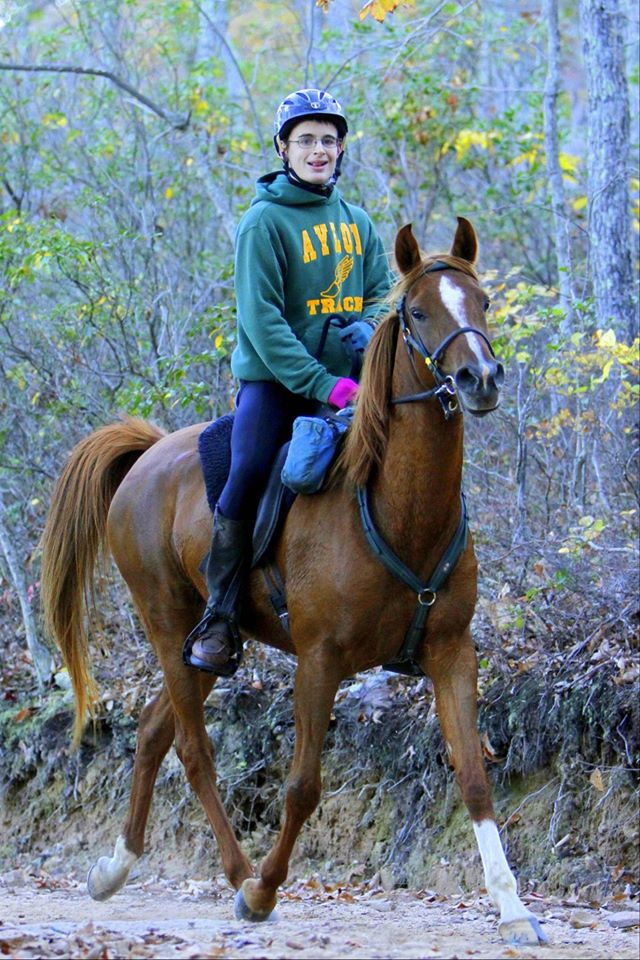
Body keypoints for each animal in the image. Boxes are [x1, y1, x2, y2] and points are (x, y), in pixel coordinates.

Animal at [41, 219, 544, 944]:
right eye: (419, 313)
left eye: (481, 302)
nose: (480, 378)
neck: (397, 509)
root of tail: (145, 456)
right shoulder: (320, 659)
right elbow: (303, 784)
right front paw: (263, 890)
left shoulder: (452, 652)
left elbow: (475, 776)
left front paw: (513, 910)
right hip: (166, 624)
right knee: (192, 747)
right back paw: (237, 876)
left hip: (206, 646)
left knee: (154, 730)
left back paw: (117, 866)